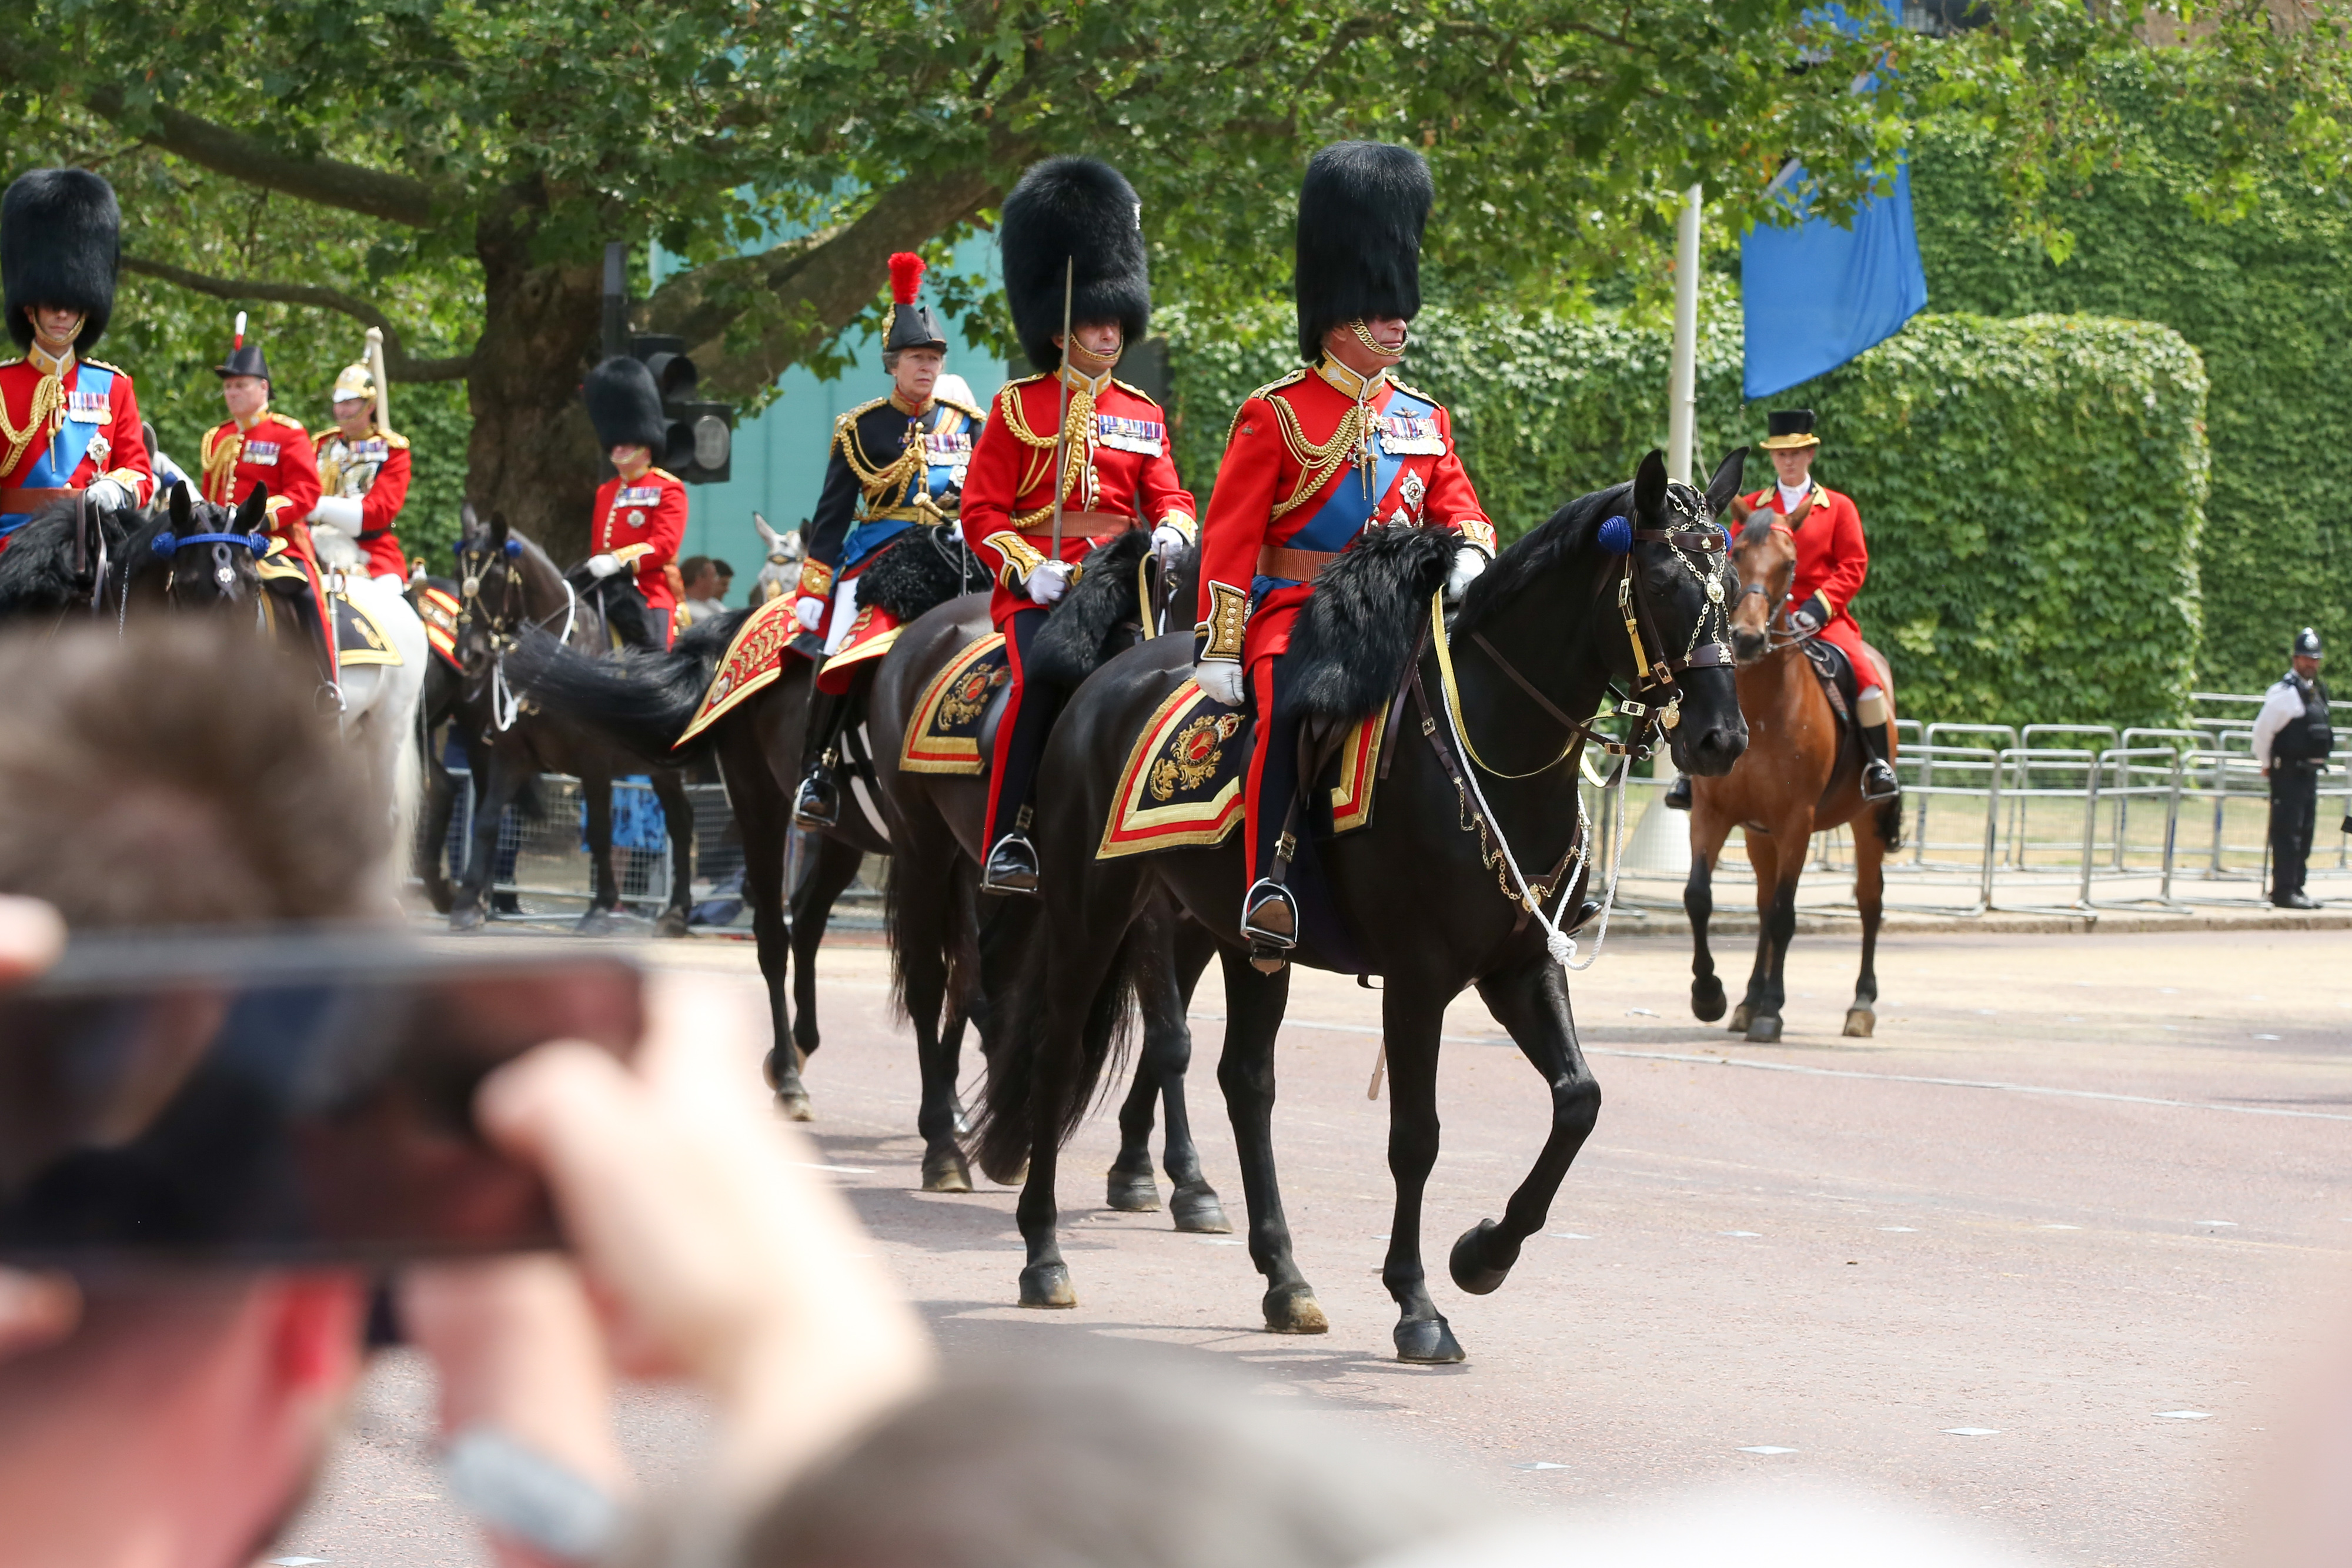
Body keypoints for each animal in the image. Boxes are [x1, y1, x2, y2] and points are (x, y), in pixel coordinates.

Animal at [964, 451, 1759, 1363]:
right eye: (1661, 582)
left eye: (1735, 585)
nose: (1721, 740)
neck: (1496, 750)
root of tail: (1102, 679)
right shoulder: (1419, 978)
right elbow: (1417, 1136)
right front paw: (1417, 1304)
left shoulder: (1521, 966)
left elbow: (1579, 1101)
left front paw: (1482, 1254)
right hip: (1092, 909)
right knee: (1060, 1051)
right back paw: (1044, 1253)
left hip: (1243, 938)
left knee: (1246, 1081)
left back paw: (1285, 1279)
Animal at [1684, 496, 1900, 1048]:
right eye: (1736, 552)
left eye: (1791, 563)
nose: (1746, 637)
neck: (1761, 706)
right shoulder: (1711, 813)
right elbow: (1699, 898)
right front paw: (1710, 995)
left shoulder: (1796, 822)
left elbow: (1785, 915)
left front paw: (1772, 1012)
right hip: (1759, 836)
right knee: (1762, 904)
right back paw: (1747, 998)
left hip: (1866, 824)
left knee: (1869, 903)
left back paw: (1861, 1004)